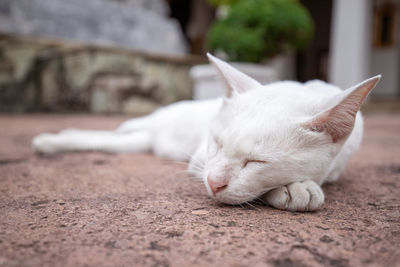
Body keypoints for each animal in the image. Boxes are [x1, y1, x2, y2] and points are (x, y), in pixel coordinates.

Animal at [32, 54, 382, 211]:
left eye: (256, 162)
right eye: (216, 143)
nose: (214, 184)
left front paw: (298, 185)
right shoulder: (200, 159)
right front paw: (296, 188)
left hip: (141, 141)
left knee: (108, 141)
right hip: (149, 122)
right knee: (120, 129)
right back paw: (49, 140)